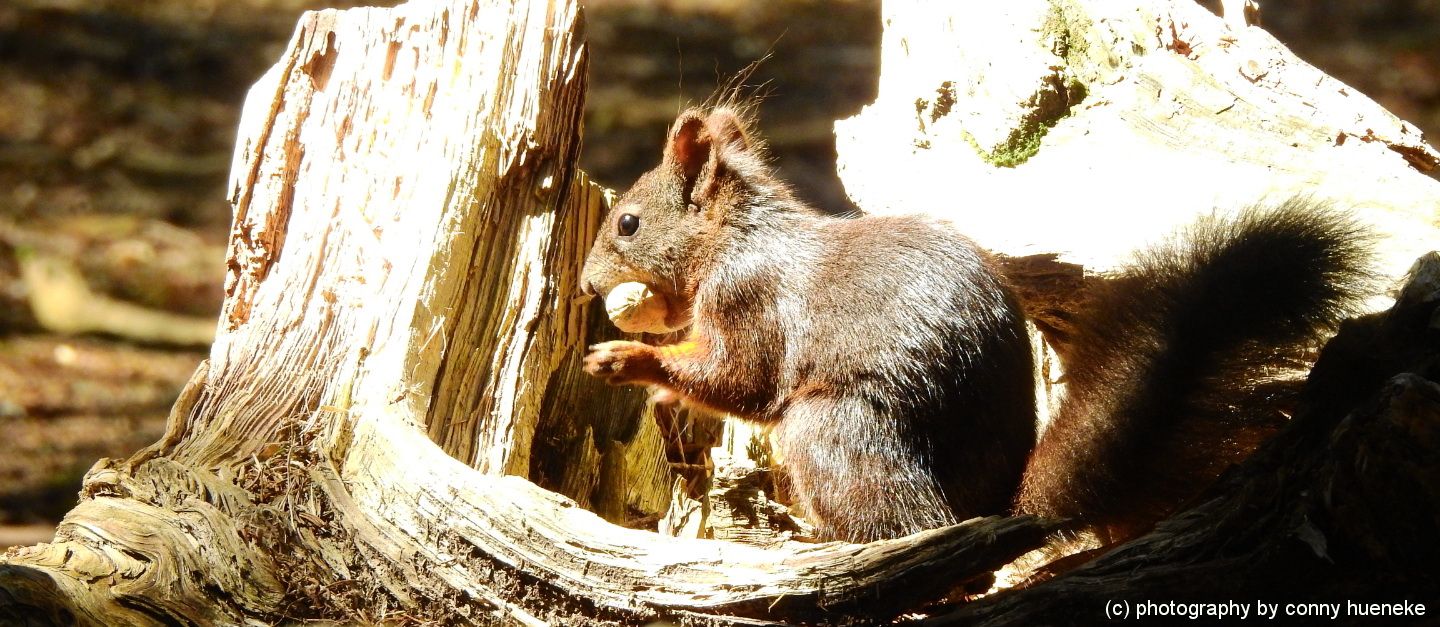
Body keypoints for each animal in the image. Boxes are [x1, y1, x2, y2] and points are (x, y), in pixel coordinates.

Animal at [576, 103, 1370, 544]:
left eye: (628, 222)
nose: (585, 284)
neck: (735, 239)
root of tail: (999, 504)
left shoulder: (750, 302)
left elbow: (738, 379)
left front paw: (631, 363)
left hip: (832, 430)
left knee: (908, 524)